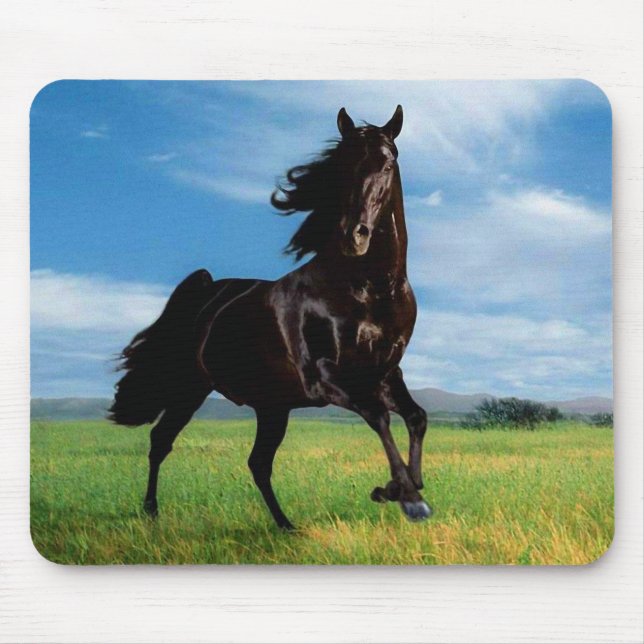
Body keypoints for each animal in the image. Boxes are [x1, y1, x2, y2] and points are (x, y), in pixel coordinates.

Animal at [109, 105, 432, 529]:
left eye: (388, 163)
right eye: (340, 166)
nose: (354, 236)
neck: (371, 290)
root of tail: (208, 290)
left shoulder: (386, 373)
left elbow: (417, 417)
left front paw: (403, 487)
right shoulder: (327, 378)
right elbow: (379, 417)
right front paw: (404, 496)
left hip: (271, 405)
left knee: (257, 463)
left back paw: (286, 525)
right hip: (189, 387)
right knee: (162, 440)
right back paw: (151, 511)